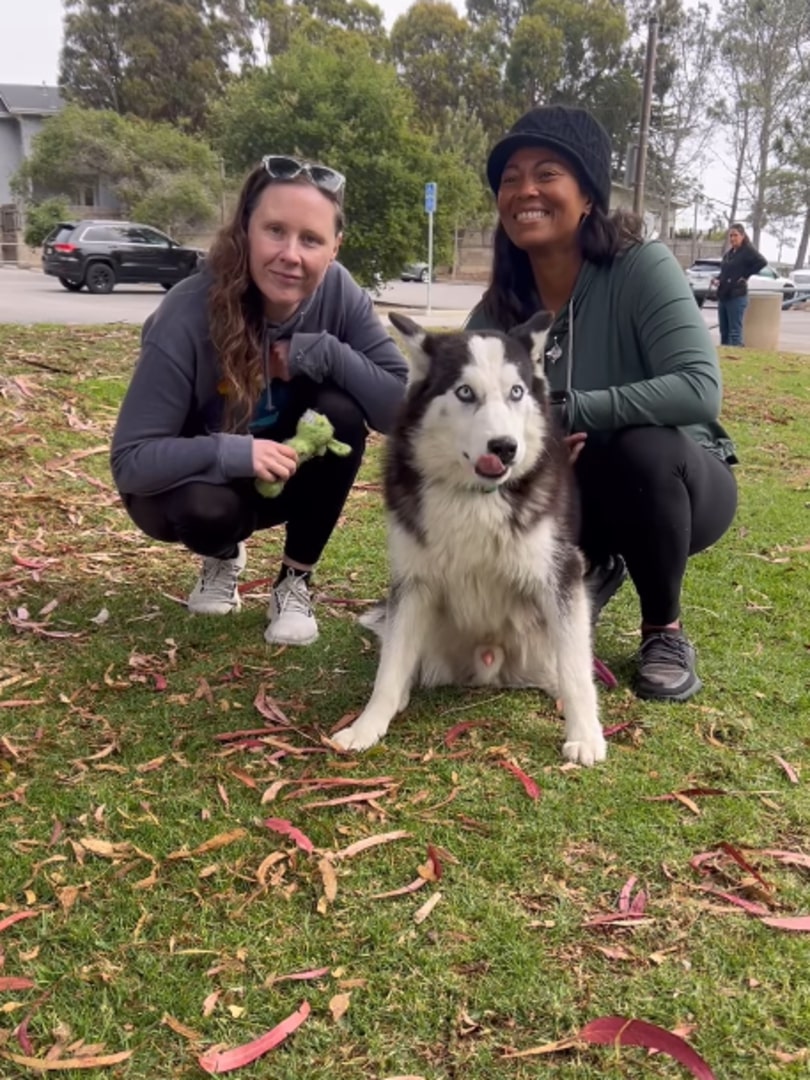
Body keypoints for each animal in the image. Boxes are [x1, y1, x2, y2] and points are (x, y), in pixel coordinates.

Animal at [332, 313, 604, 768]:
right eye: (465, 392)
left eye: (516, 392)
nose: (505, 447)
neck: (476, 497)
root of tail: (491, 667)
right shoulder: (413, 581)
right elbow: (389, 668)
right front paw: (367, 725)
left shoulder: (561, 572)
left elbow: (575, 669)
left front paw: (585, 734)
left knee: (568, 662)